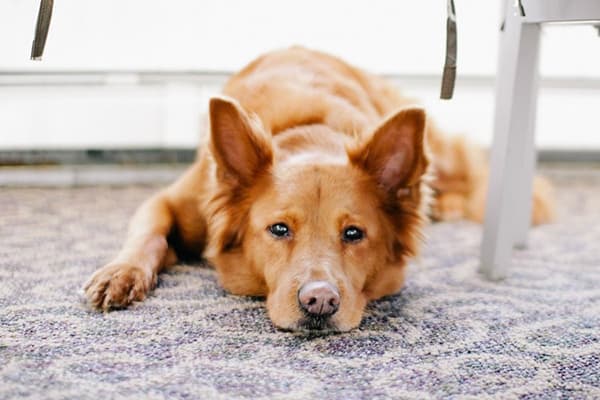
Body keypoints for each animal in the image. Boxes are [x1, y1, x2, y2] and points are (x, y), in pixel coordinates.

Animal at [83, 47, 552, 332]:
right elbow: (148, 234)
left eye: (353, 233)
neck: (309, 133)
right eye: (278, 229)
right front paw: (120, 273)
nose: (320, 302)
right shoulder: (173, 201)